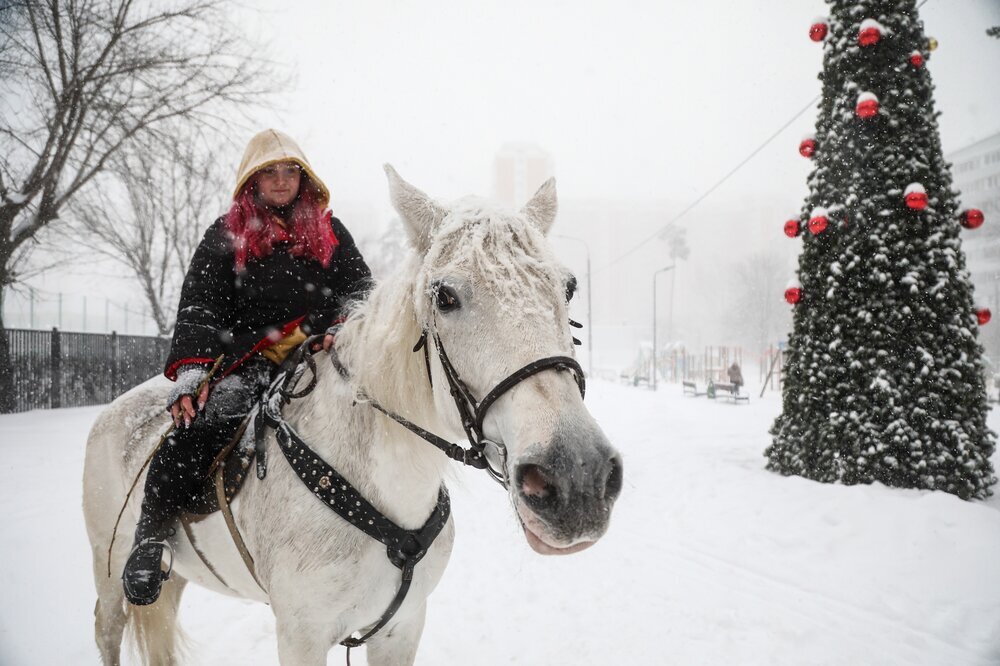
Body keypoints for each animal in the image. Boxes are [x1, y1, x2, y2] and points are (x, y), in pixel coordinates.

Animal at [82, 163, 620, 660]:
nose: (576, 476)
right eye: (445, 296)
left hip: (175, 582)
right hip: (111, 571)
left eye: (568, 287)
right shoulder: (300, 636)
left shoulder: (402, 627)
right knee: (108, 625)